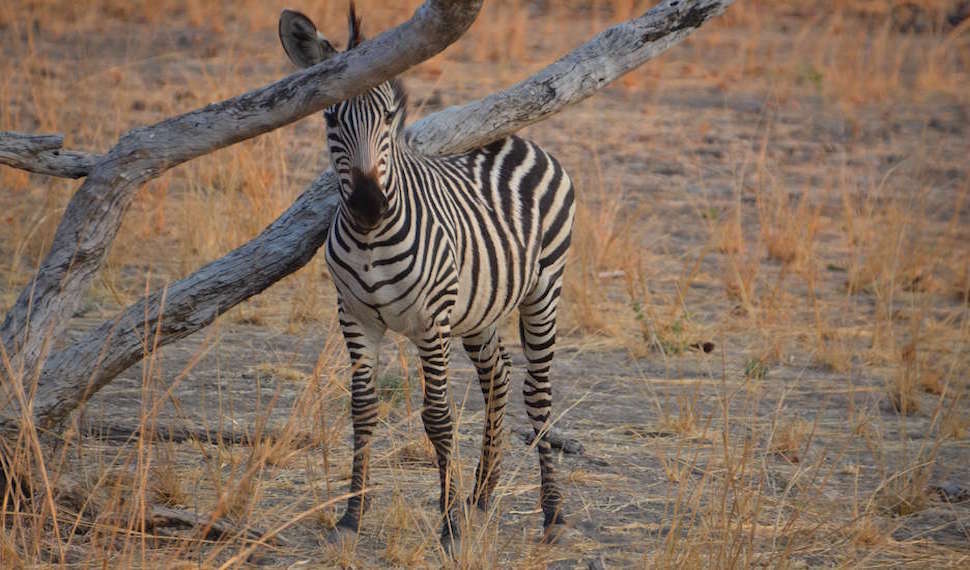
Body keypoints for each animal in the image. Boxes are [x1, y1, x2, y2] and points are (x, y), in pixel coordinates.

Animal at [279, 6, 576, 548]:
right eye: (330, 118)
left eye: (389, 116)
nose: (368, 206)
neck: (372, 239)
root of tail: (513, 136)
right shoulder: (354, 317)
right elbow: (362, 409)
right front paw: (352, 514)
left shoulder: (430, 322)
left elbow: (437, 417)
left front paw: (449, 523)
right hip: (480, 305)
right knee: (498, 376)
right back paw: (481, 493)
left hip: (544, 289)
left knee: (538, 394)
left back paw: (551, 512)